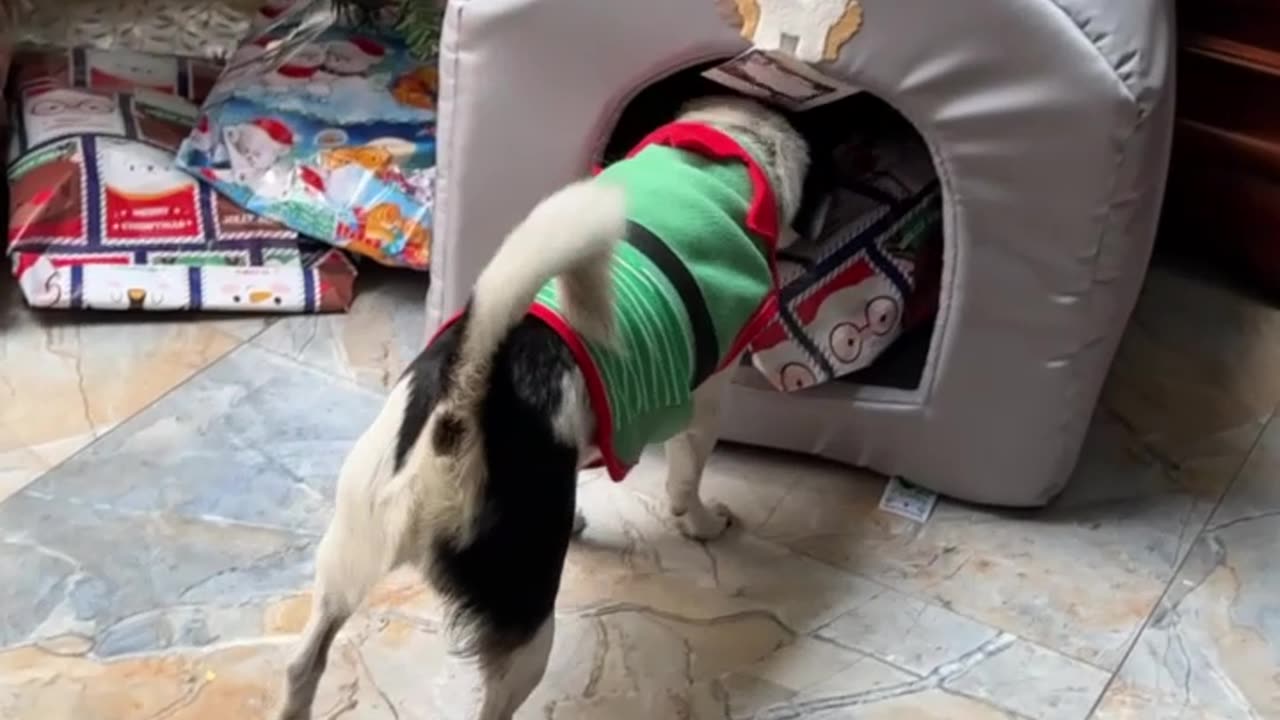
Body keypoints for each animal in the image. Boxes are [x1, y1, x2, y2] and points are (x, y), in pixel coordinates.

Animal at [277, 96, 808, 717]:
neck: (724, 147)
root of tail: (457, 409)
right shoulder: (706, 401)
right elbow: (686, 481)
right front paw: (701, 523)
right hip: (526, 614)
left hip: (348, 552)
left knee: (303, 662)